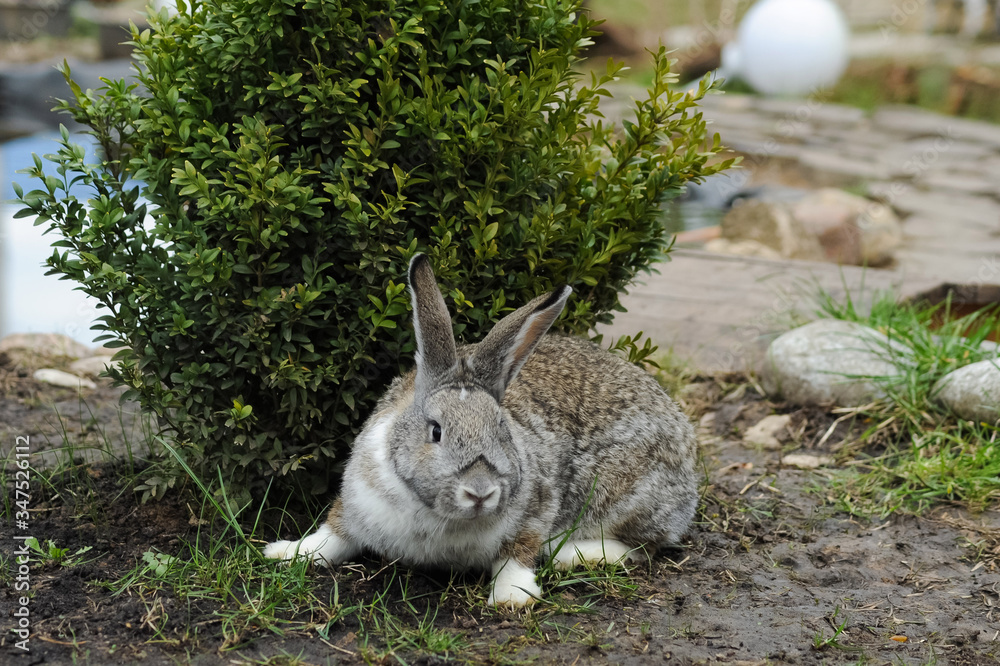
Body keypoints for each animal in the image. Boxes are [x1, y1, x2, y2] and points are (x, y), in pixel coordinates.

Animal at [264, 253, 699, 608]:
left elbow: (515, 556)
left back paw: (569, 554)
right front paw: (285, 552)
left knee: (644, 546)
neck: (439, 515)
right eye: (435, 431)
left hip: (625, 496)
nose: (479, 491)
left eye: (502, 429)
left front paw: (512, 597)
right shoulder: (357, 500)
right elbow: (334, 535)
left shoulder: (535, 511)